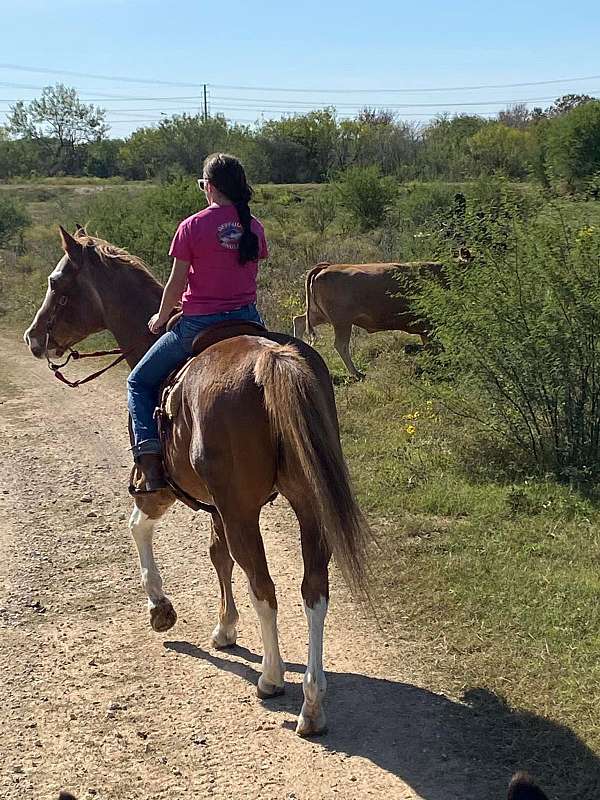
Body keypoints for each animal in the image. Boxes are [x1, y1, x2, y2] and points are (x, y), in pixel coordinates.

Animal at [24, 227, 370, 736]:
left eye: (57, 282)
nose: (33, 338)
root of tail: (275, 361)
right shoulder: (217, 506)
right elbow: (217, 555)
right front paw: (225, 628)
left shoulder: (162, 490)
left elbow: (138, 529)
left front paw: (160, 609)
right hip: (306, 504)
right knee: (313, 590)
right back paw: (312, 701)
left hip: (243, 510)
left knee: (264, 585)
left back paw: (271, 678)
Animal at [292, 260, 442, 378]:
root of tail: (326, 267)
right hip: (342, 321)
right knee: (341, 345)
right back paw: (356, 373)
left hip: (319, 314)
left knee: (299, 321)